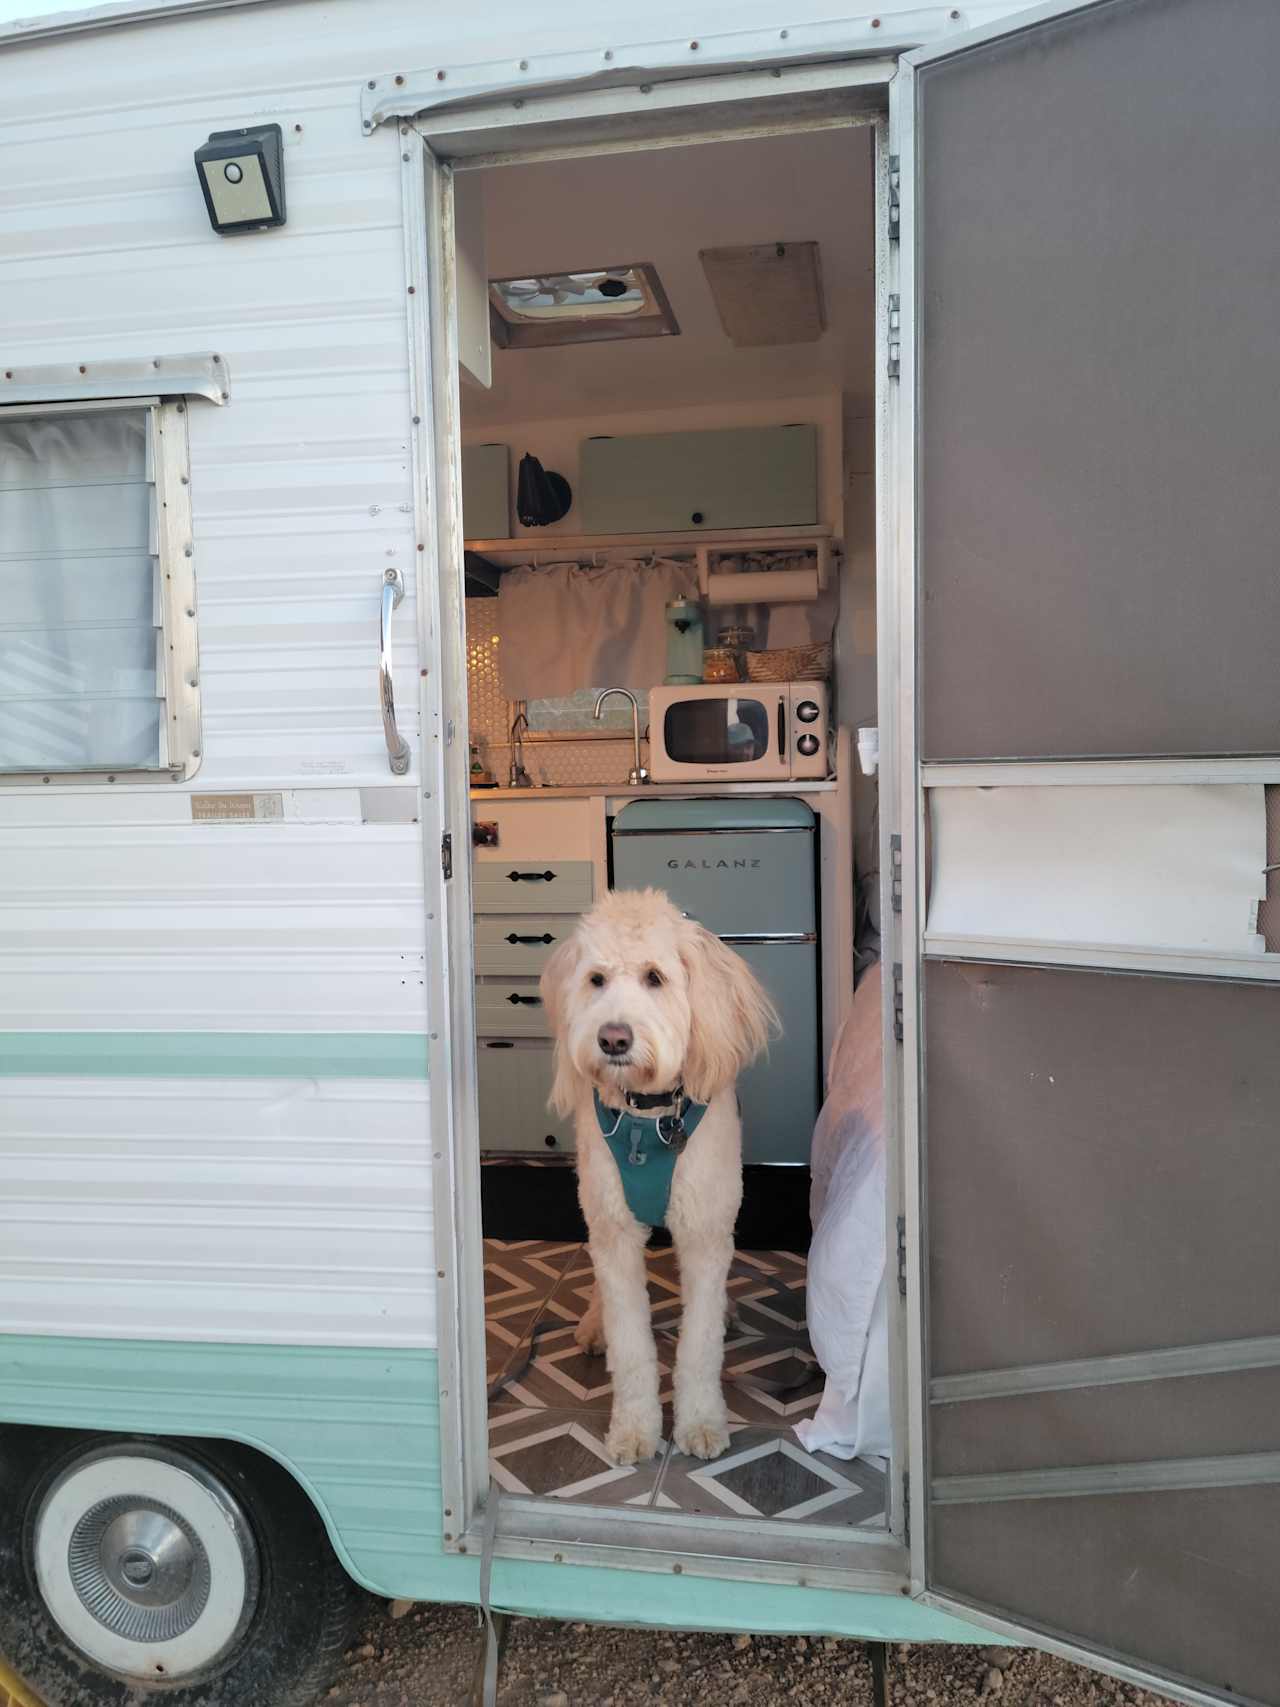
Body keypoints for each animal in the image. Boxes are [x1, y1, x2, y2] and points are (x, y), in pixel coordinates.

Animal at [539, 887, 771, 1461]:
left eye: (655, 977)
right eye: (596, 980)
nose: (613, 1039)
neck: (649, 1118)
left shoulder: (705, 1234)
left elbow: (699, 1345)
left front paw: (702, 1424)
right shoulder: (616, 1233)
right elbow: (632, 1344)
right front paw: (634, 1431)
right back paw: (593, 1324)